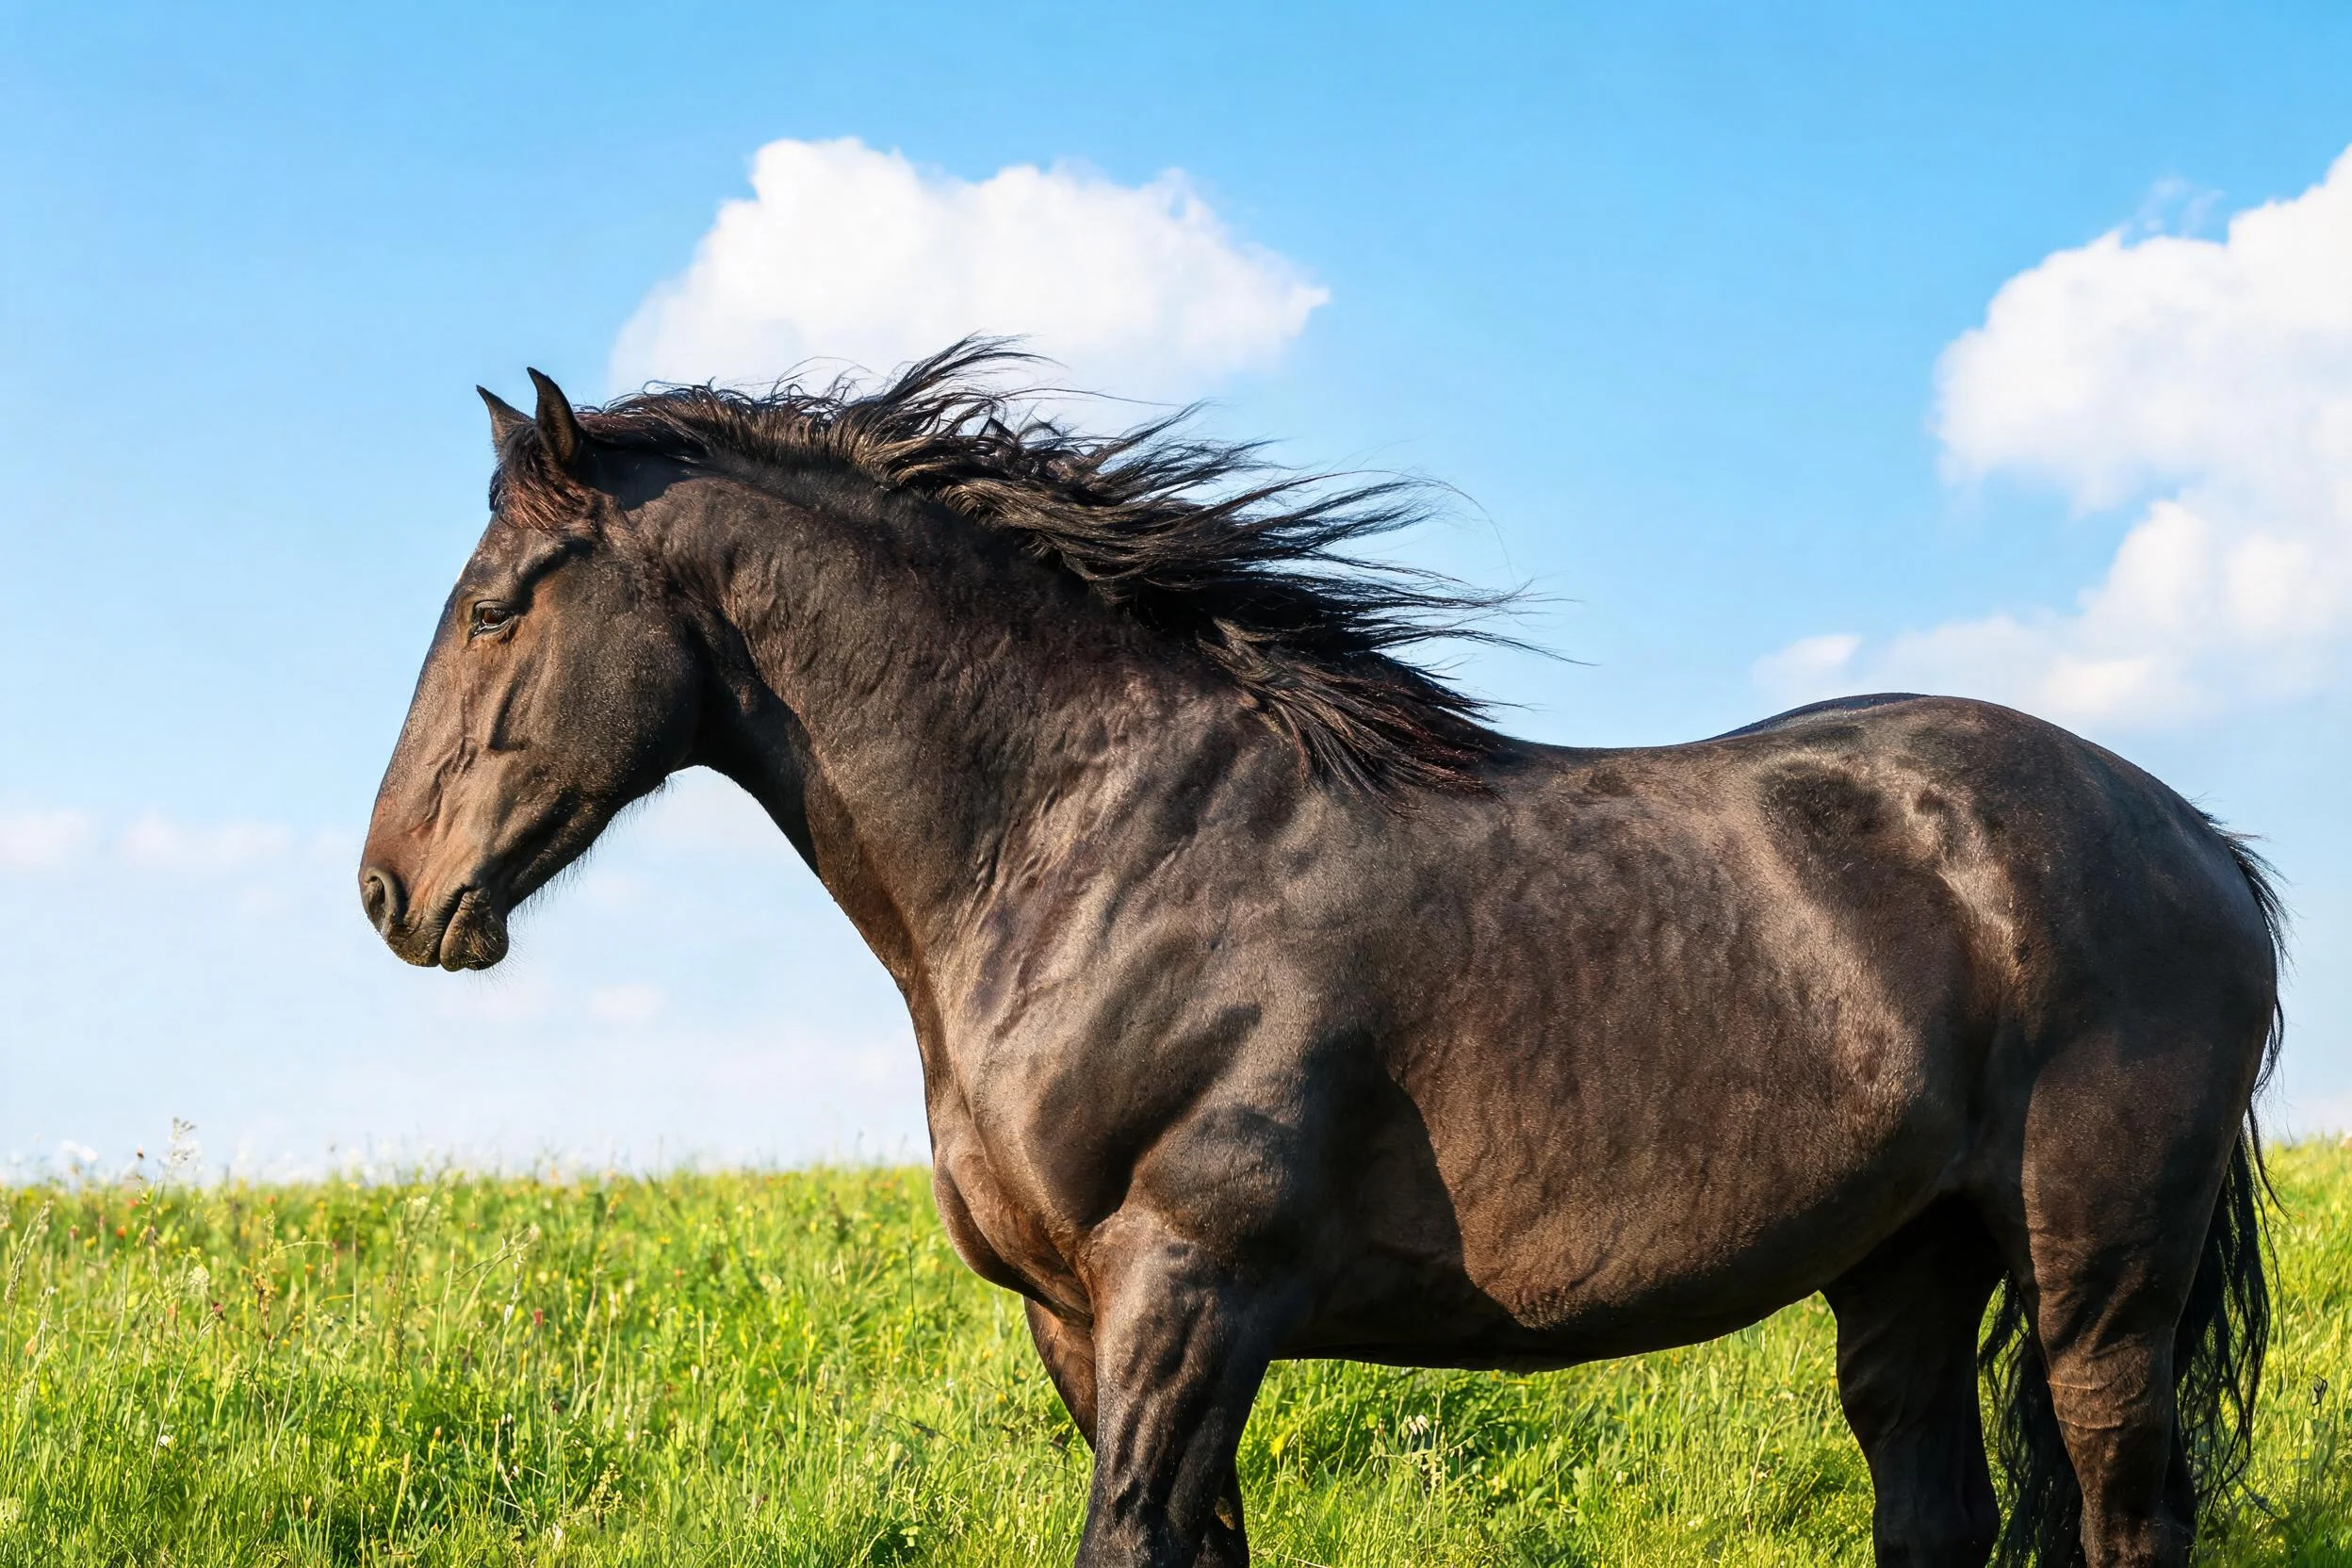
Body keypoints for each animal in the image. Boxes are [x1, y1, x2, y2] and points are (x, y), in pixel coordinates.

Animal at [360, 343, 2279, 1567]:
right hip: (1903, 1265)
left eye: (497, 606)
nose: (393, 894)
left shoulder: (1193, 1291)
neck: (1100, 845)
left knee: (2126, 1513)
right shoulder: (1082, 1321)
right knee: (1934, 1513)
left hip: (2096, 1286)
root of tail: (2203, 841)